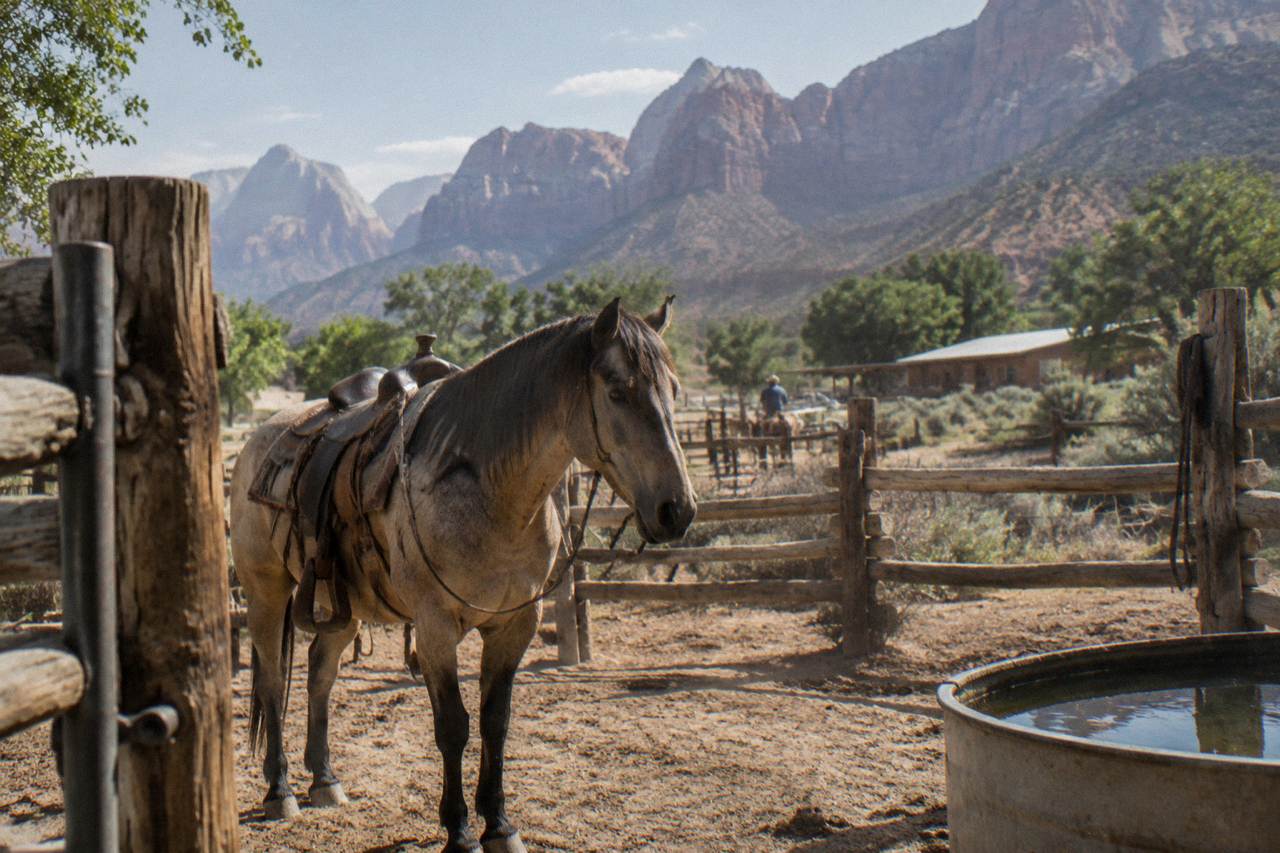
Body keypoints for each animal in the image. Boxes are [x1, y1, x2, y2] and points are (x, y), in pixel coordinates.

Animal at [228, 298, 696, 852]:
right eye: (618, 391)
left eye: (674, 390)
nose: (677, 510)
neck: (489, 487)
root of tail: (257, 442)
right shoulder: (435, 627)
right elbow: (453, 725)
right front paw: (459, 829)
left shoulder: (515, 625)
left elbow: (496, 721)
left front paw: (500, 824)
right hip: (266, 591)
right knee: (273, 680)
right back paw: (280, 790)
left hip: (341, 605)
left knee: (321, 671)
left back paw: (324, 779)